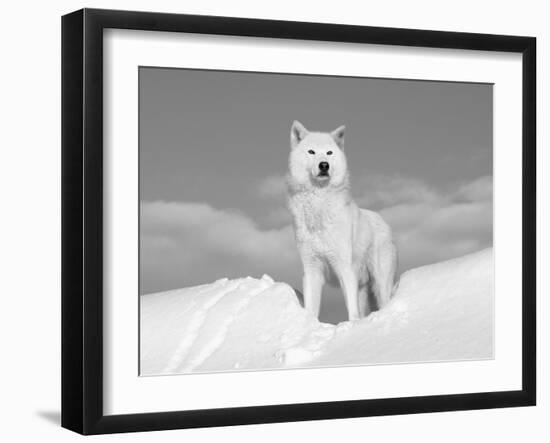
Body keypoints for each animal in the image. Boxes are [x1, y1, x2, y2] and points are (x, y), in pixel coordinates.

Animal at [288, 121, 396, 322]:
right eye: (311, 152)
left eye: (329, 152)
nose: (324, 165)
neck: (319, 206)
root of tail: (382, 220)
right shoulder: (311, 270)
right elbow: (311, 309)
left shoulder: (345, 268)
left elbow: (351, 310)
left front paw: (352, 325)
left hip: (380, 283)